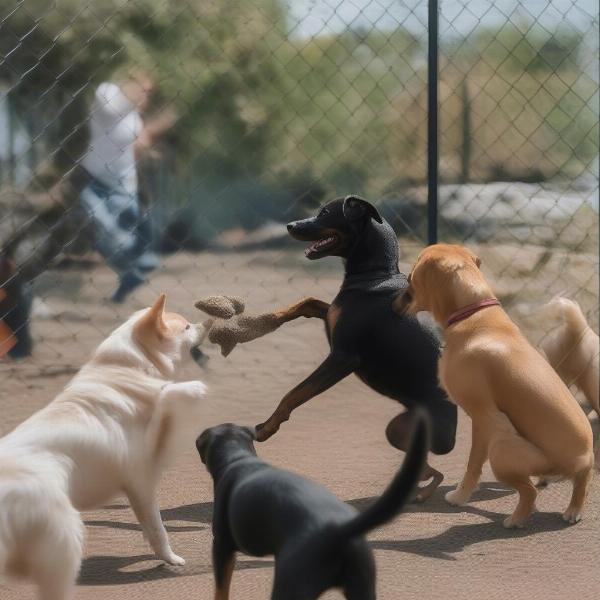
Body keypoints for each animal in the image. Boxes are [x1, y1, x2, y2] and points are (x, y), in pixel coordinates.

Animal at [0, 296, 206, 600]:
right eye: (188, 327)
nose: (207, 324)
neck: (126, 367)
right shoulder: (142, 482)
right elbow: (158, 529)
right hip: (65, 537)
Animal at [196, 412, 426, 600]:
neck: (237, 458)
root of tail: (341, 530)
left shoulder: (221, 545)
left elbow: (221, 589)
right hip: (362, 586)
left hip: (292, 583)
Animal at [255, 196, 458, 502]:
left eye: (325, 213)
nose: (290, 225)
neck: (376, 275)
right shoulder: (333, 318)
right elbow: (308, 301)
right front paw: (270, 318)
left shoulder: (342, 358)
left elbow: (294, 393)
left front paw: (267, 428)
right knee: (429, 468)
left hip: (400, 429)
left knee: (431, 468)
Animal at [392, 243, 592, 524]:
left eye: (410, 277)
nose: (393, 301)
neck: (475, 316)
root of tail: (583, 459)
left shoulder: (485, 419)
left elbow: (473, 465)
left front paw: (459, 497)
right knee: (574, 483)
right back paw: (569, 505)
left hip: (502, 448)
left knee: (529, 492)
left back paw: (517, 520)